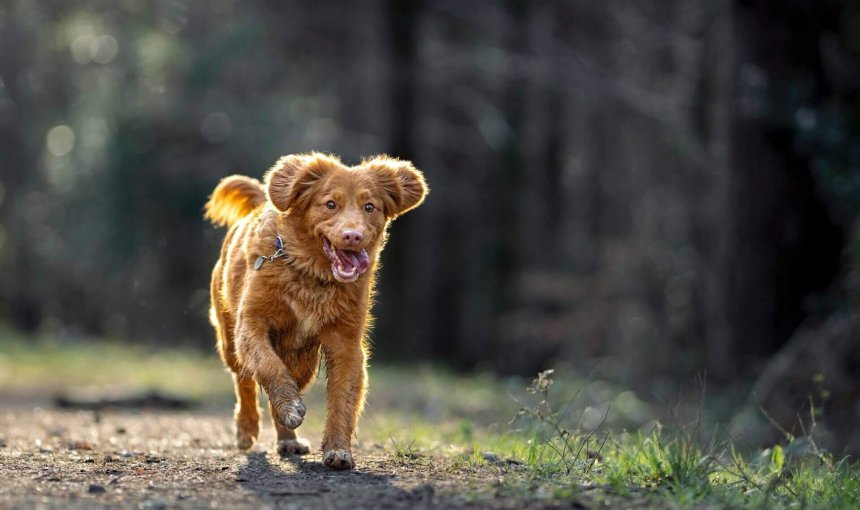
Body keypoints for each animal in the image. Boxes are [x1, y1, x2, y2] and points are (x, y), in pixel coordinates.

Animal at [205, 152, 426, 470]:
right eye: (330, 204)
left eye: (369, 207)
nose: (353, 236)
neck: (312, 276)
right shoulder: (252, 324)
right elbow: (267, 366)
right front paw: (289, 406)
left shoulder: (346, 343)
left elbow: (343, 398)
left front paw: (338, 450)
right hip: (229, 340)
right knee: (244, 380)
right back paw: (247, 429)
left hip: (304, 361)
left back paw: (288, 439)